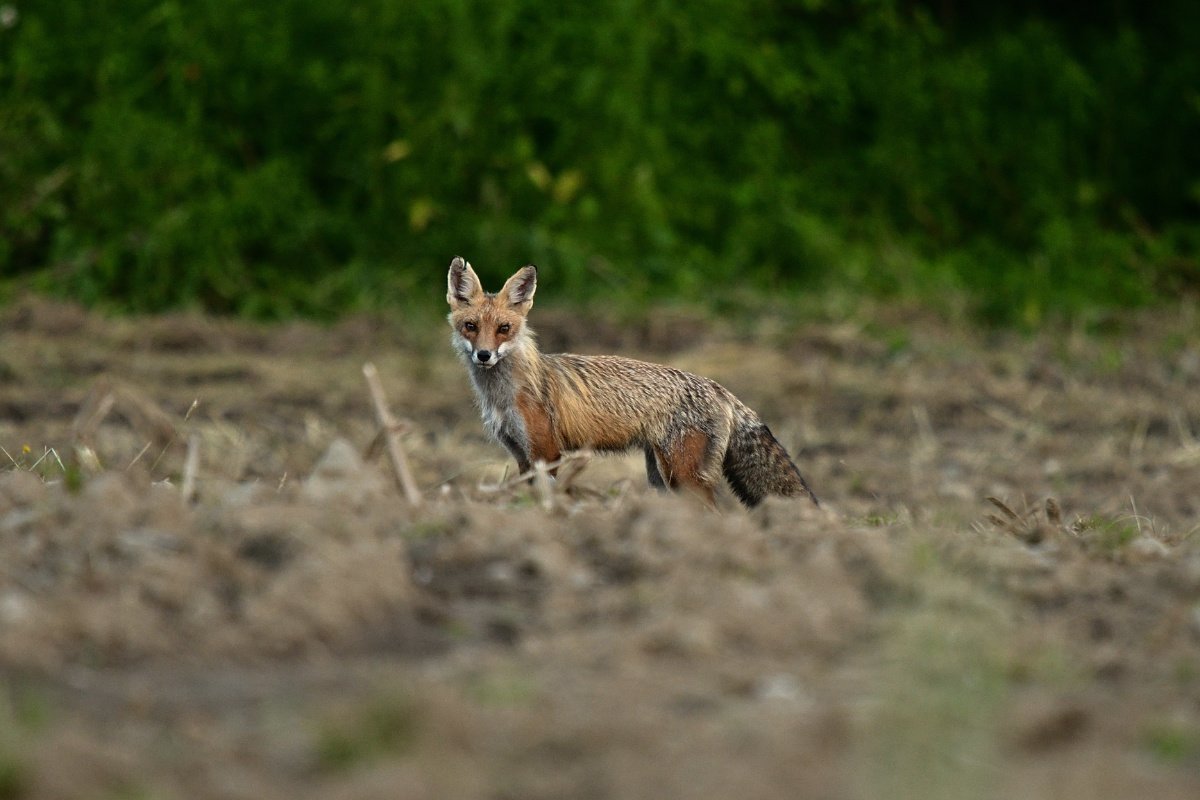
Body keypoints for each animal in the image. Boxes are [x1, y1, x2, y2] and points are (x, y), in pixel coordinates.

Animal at [446, 257, 818, 508]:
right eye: (470, 326)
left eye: (504, 329)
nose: (484, 355)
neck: (503, 396)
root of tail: (718, 387)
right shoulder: (522, 455)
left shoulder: (547, 452)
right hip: (660, 478)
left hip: (682, 476)